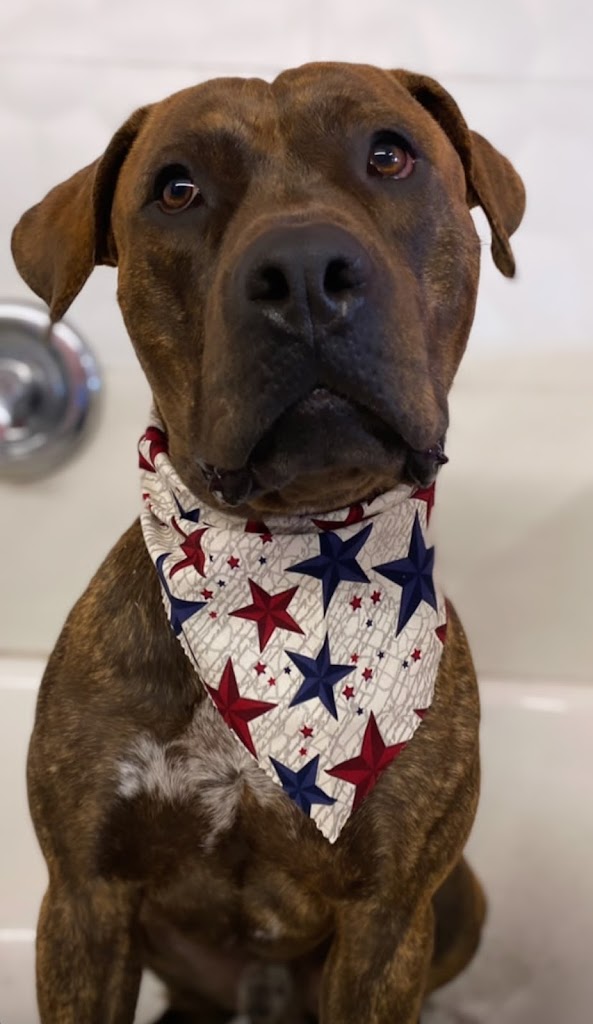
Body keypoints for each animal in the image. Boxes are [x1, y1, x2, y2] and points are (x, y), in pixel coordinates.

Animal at [12, 62, 524, 1024]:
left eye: (389, 155)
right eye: (176, 189)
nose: (302, 271)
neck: (289, 547)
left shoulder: (385, 919)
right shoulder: (85, 898)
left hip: (461, 899)